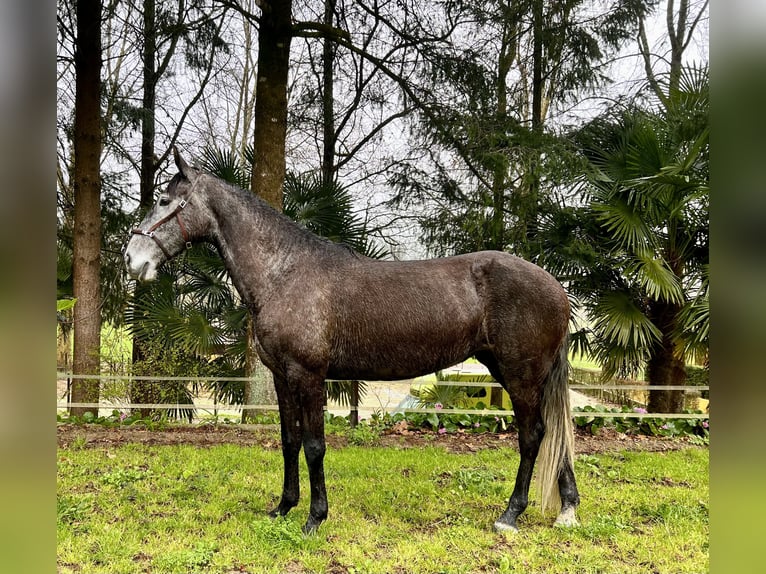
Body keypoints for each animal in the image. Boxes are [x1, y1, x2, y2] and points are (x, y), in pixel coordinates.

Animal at [124, 148, 584, 536]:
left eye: (164, 201)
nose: (132, 259)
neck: (285, 272)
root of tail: (556, 287)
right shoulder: (282, 378)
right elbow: (289, 441)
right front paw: (283, 508)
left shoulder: (309, 376)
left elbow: (313, 446)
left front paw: (314, 518)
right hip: (518, 373)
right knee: (555, 436)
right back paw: (567, 510)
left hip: (521, 375)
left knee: (533, 436)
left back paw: (510, 515)